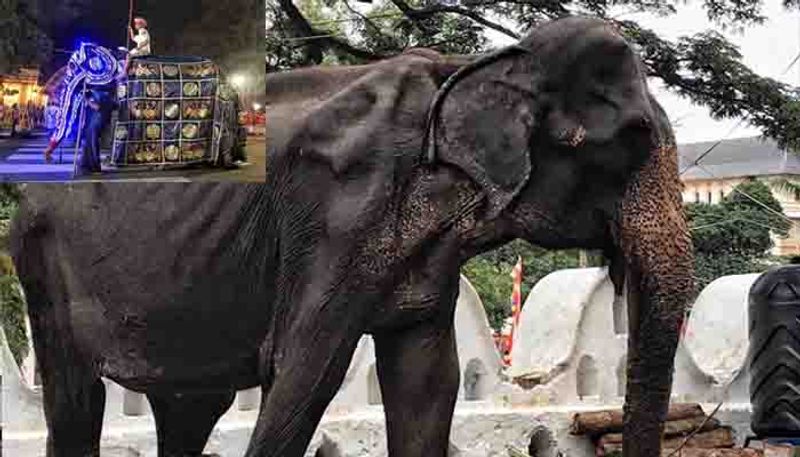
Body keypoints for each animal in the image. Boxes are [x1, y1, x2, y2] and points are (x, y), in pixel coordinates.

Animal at [9, 16, 692, 456]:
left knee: (189, 407)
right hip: (41, 262)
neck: (474, 69)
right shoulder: (336, 211)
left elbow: (428, 383)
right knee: (76, 400)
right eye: (633, 139)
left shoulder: (430, 251)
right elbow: (305, 370)